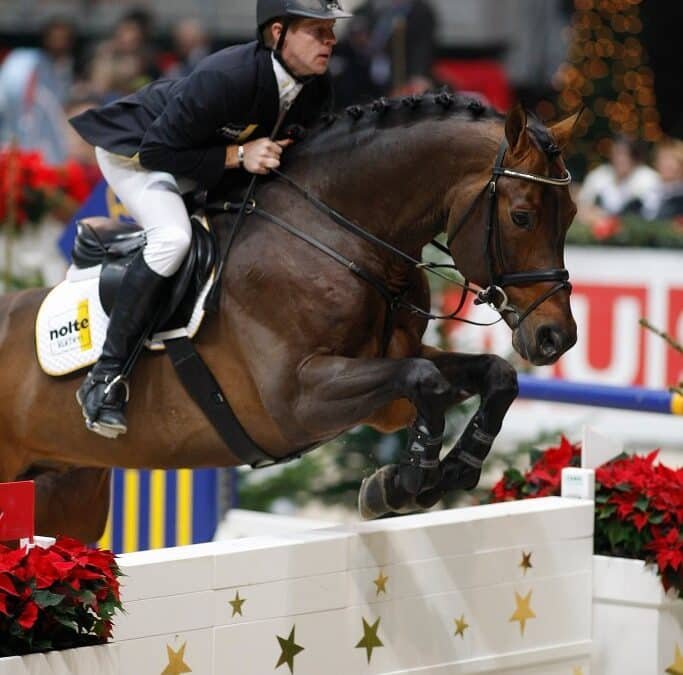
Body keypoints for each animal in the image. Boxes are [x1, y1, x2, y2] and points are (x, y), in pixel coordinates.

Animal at [0, 95, 579, 542]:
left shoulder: (387, 387)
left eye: (571, 214)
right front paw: (406, 481)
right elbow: (426, 380)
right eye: (521, 216)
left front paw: (443, 470)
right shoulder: (296, 400)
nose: (557, 338)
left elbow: (490, 376)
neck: (337, 236)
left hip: (66, 493)